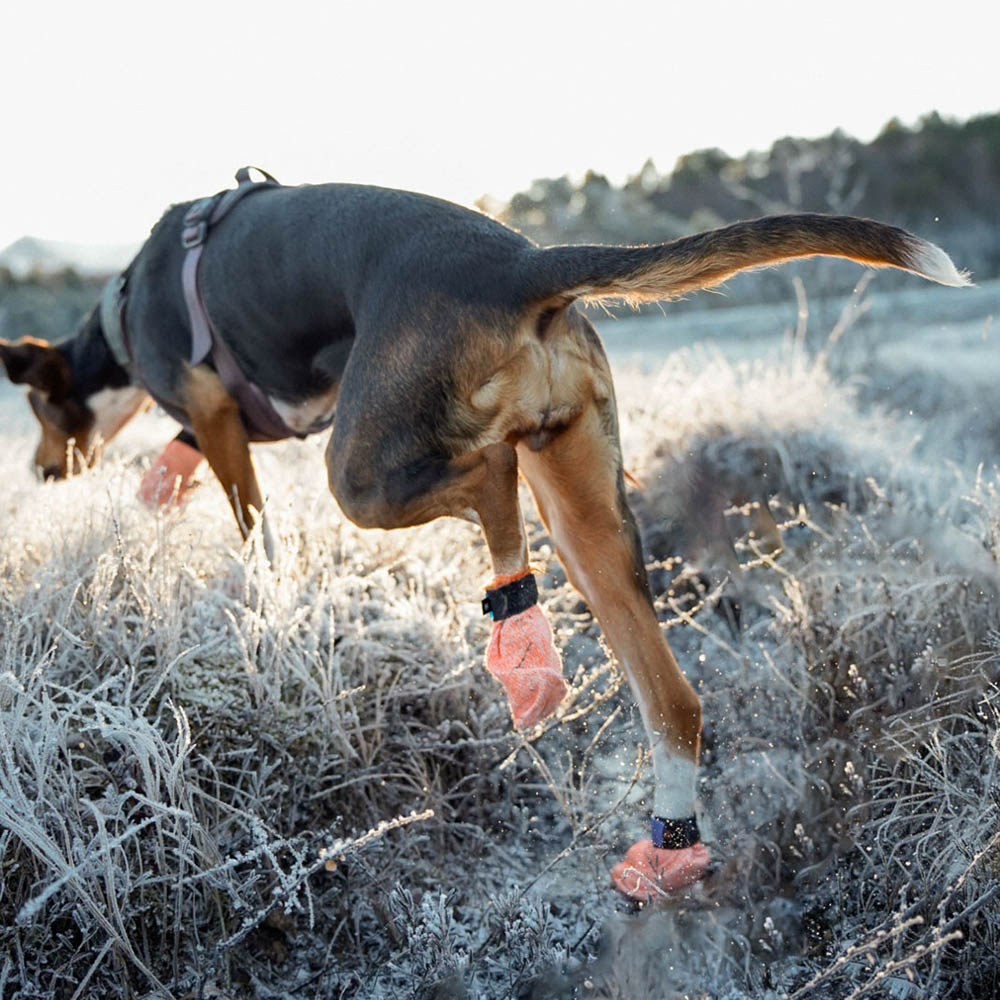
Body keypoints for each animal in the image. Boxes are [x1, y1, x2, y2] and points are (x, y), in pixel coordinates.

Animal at [0, 168, 968, 904]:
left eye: (39, 410)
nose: (41, 475)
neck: (126, 309)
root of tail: (521, 262)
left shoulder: (215, 416)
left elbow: (250, 525)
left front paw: (258, 588)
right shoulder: (214, 427)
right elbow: (182, 466)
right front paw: (155, 494)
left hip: (368, 470)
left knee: (490, 479)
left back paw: (519, 648)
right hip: (586, 512)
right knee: (671, 696)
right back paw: (657, 836)